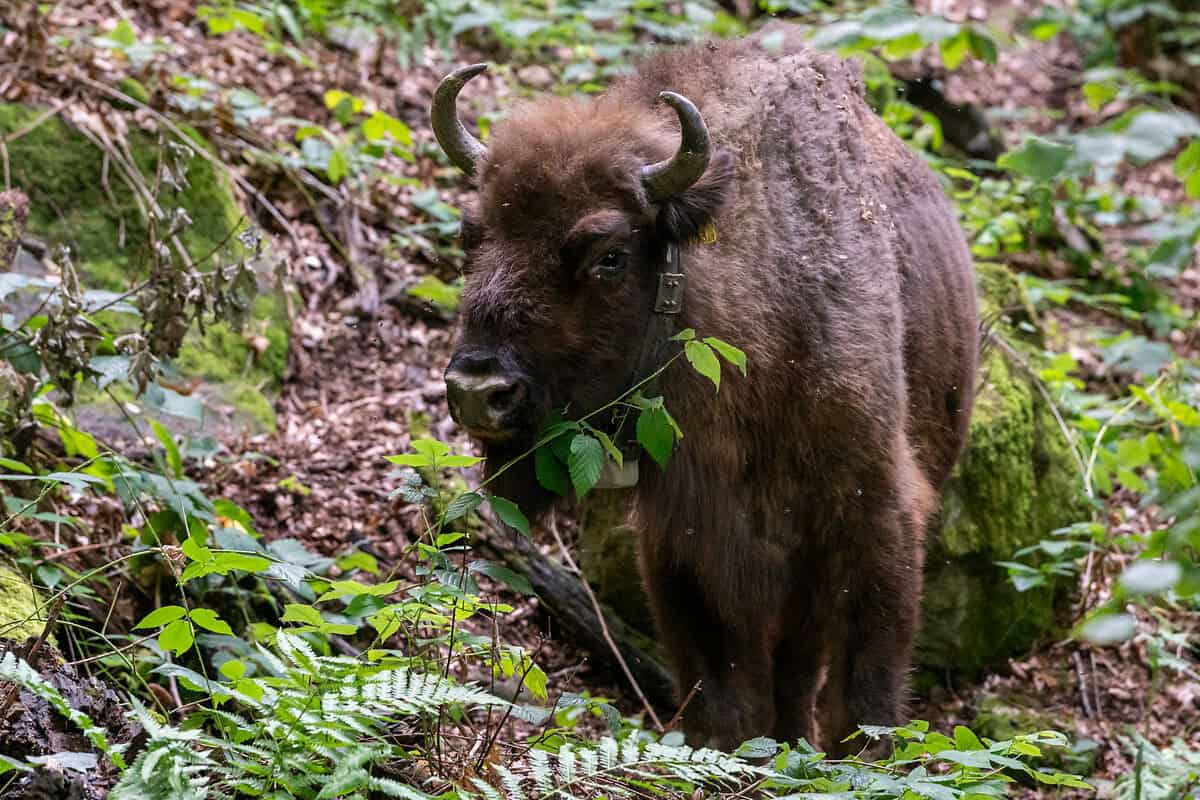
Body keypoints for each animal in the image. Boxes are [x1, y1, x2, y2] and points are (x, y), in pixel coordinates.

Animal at [431, 24, 978, 753]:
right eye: (472, 237)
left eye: (608, 256)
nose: (477, 389)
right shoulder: (685, 540)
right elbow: (720, 685)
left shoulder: (876, 516)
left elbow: (866, 687)